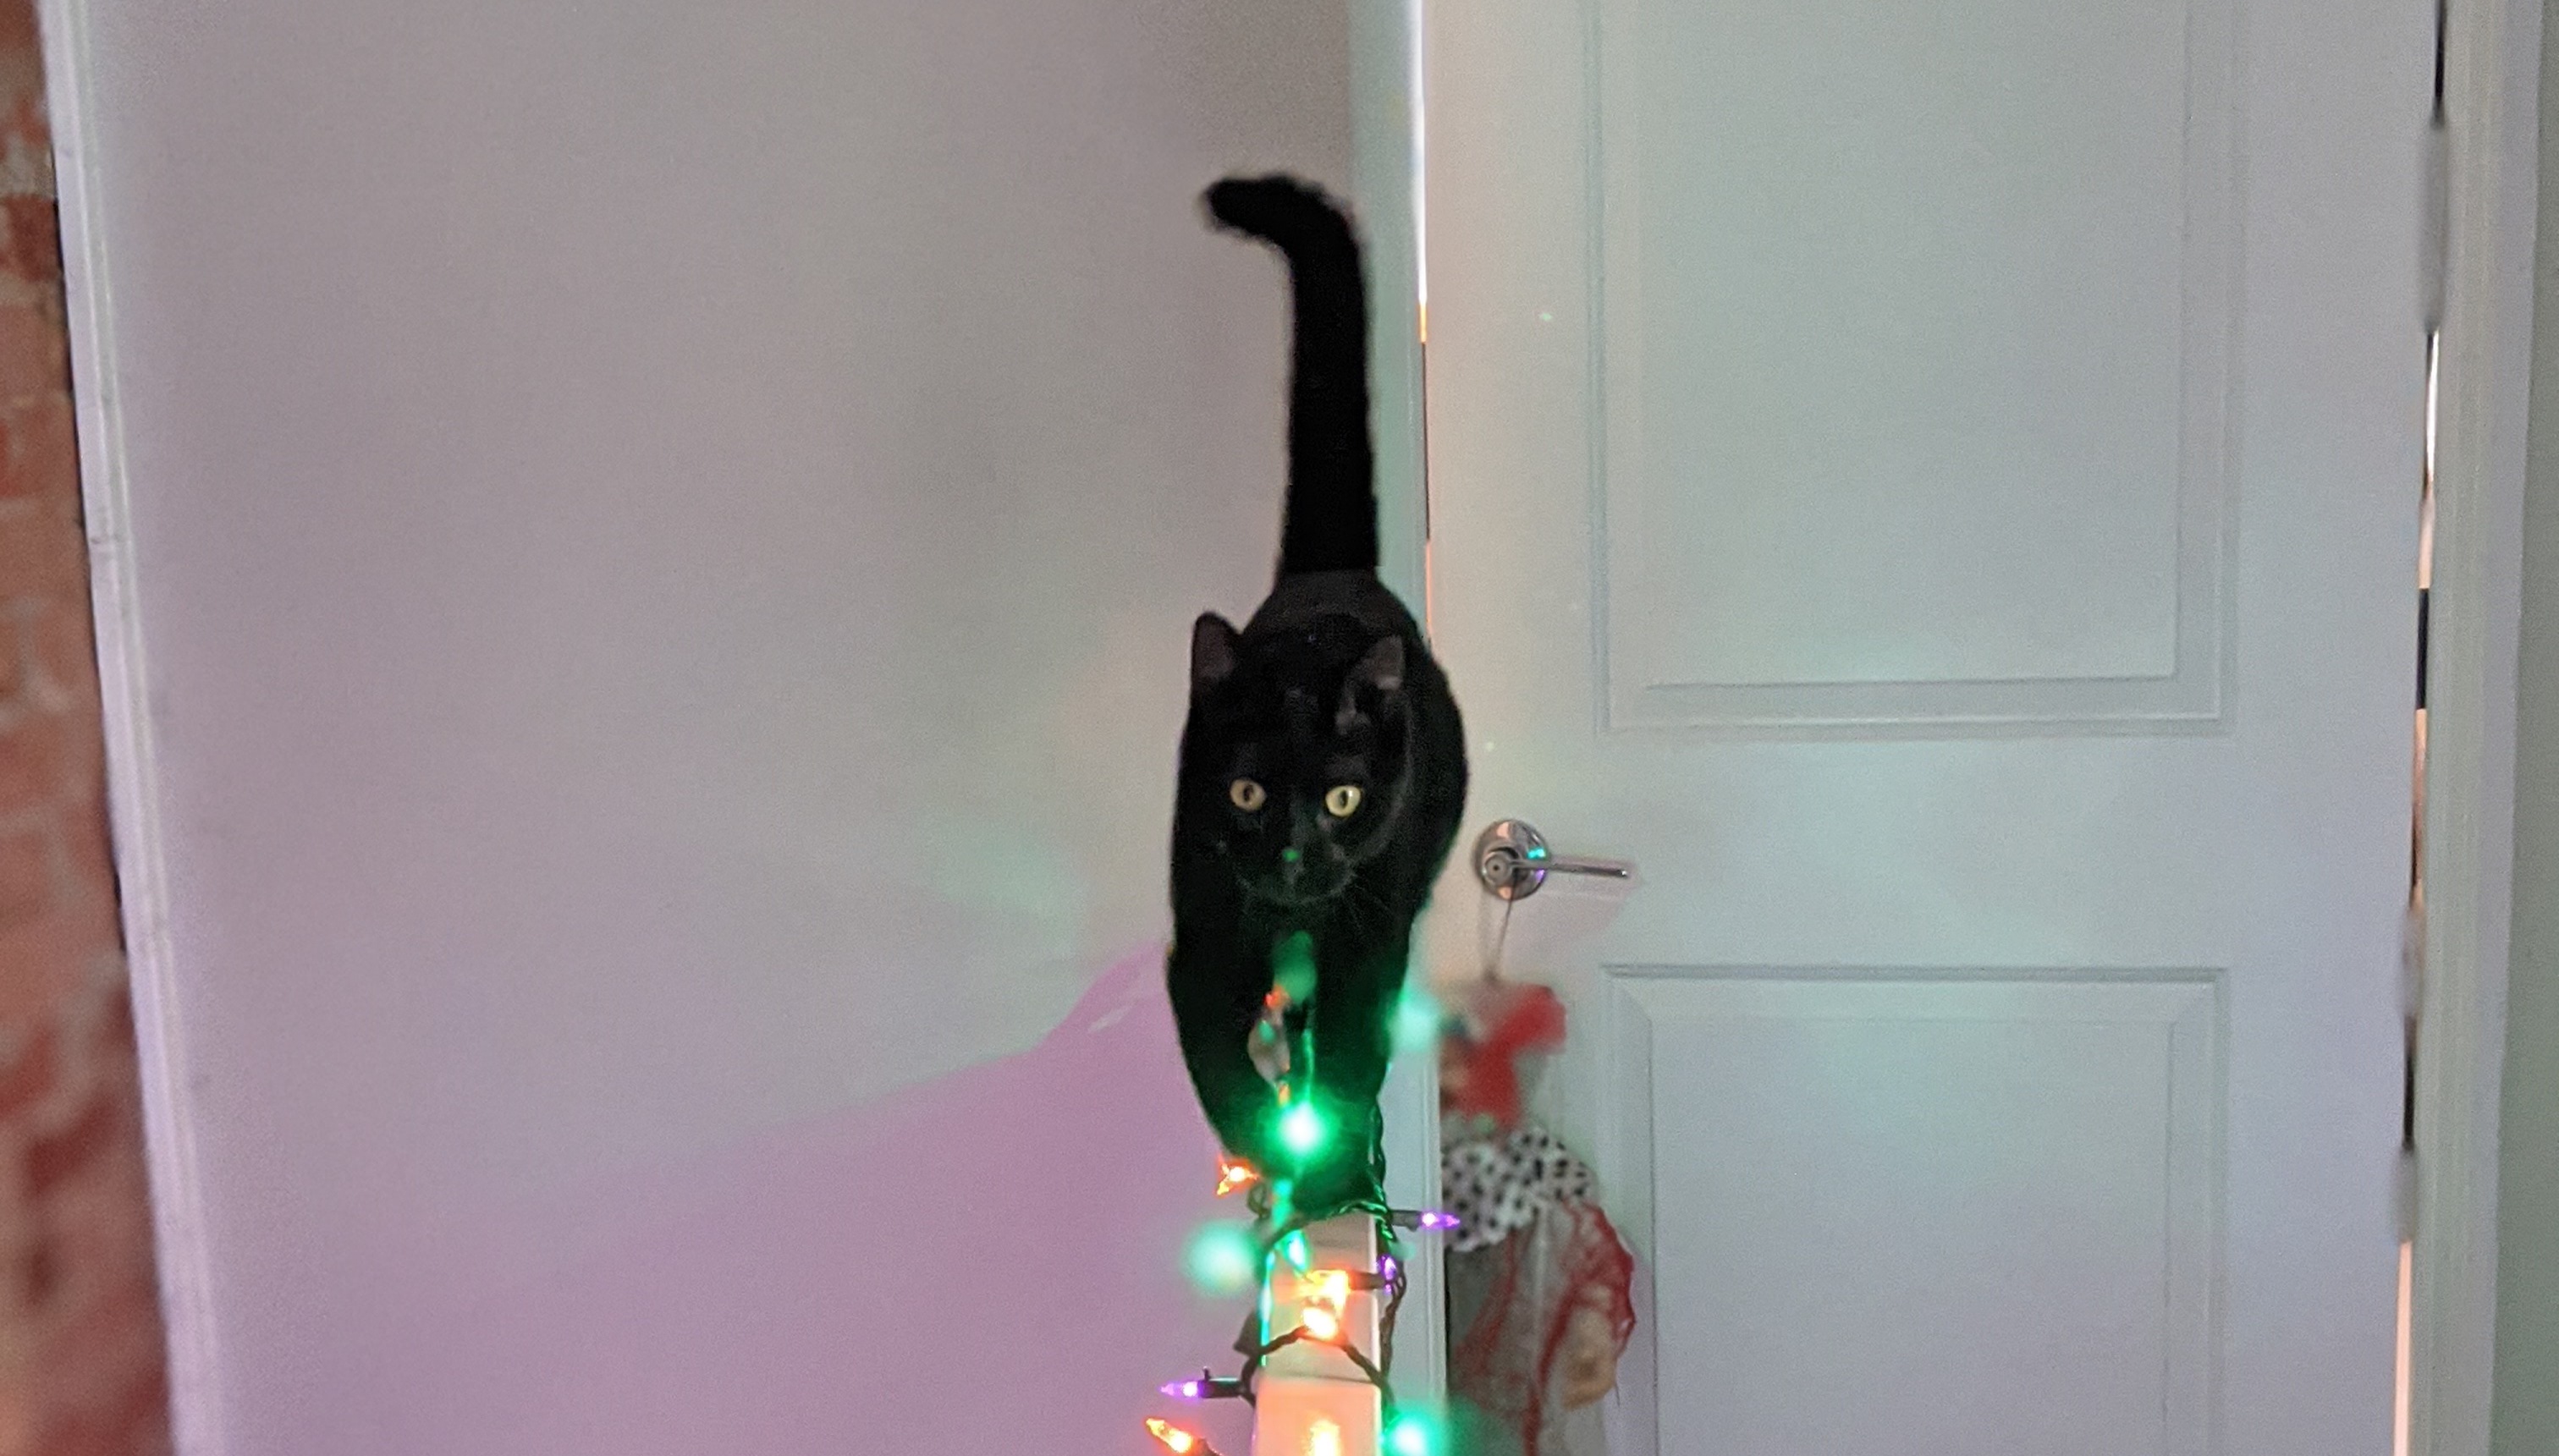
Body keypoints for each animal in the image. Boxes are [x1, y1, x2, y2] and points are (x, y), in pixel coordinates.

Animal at [1171, 176, 1473, 1207]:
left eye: (1343, 797)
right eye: (1246, 791)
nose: (1298, 854)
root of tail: (1329, 575)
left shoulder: (1368, 942)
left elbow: (1349, 1053)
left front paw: (1332, 1165)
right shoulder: (1204, 937)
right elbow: (1221, 1064)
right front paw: (1269, 1151)